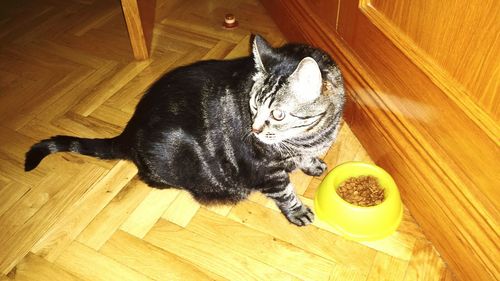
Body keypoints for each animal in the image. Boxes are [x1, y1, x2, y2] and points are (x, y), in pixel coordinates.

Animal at [25, 34, 346, 225]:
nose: (254, 130)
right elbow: (285, 191)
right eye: (253, 106)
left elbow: (306, 158)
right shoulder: (264, 169)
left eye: (277, 114)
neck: (312, 133)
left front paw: (312, 164)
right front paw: (297, 211)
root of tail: (129, 131)